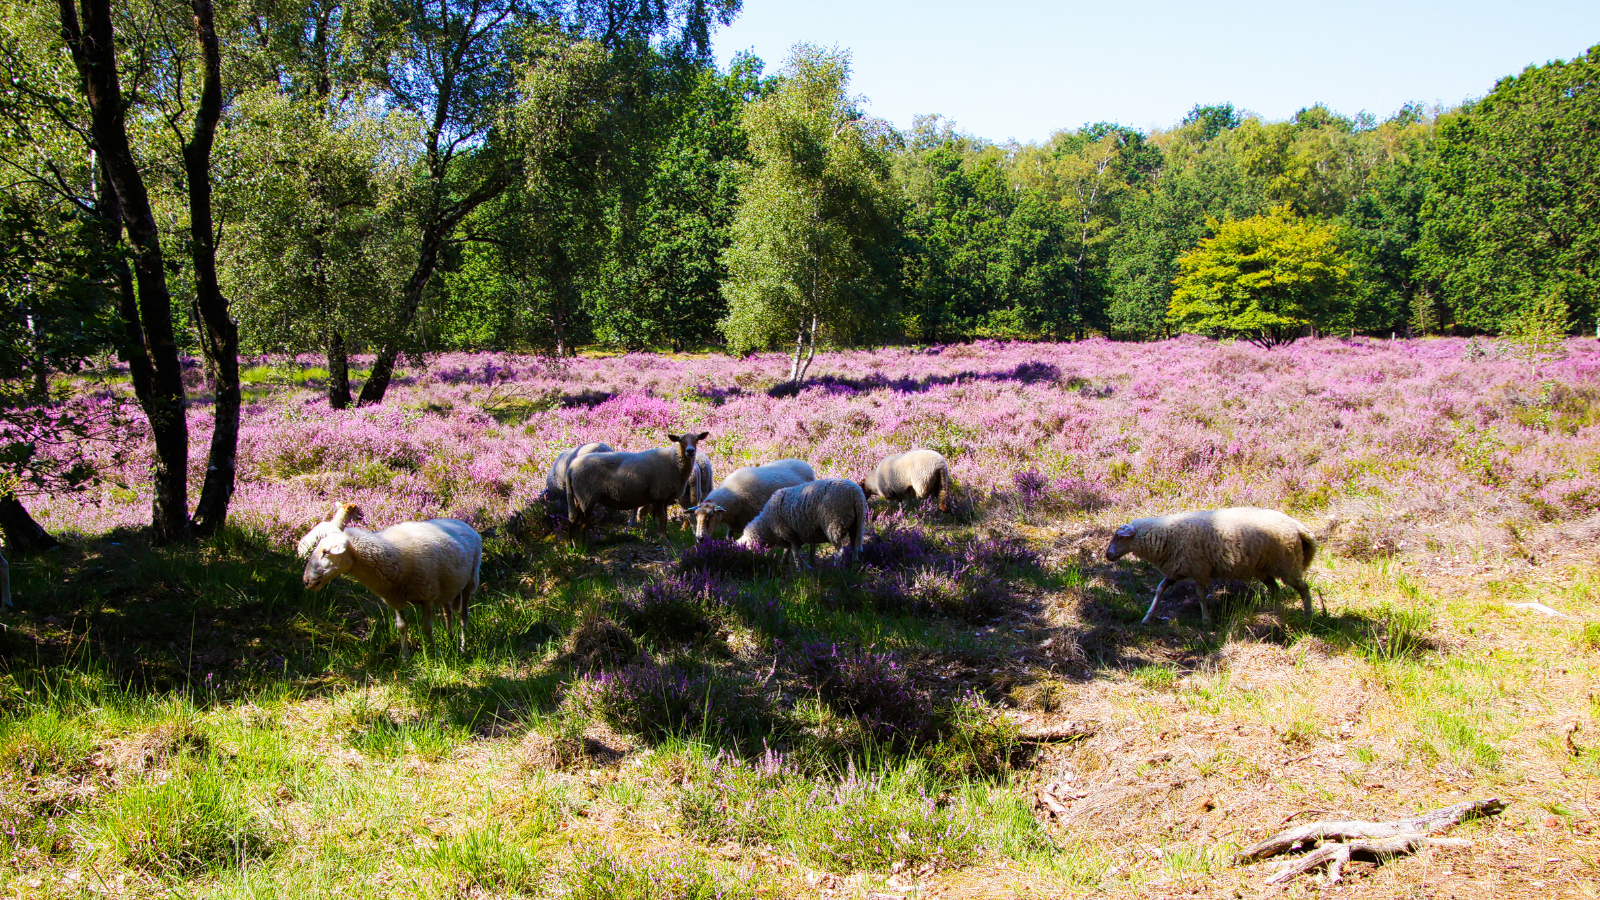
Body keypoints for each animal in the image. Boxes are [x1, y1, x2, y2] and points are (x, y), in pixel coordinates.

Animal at [297, 499, 476, 656]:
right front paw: (405, 658)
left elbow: (427, 628)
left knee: (463, 616)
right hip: (447, 587)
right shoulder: (395, 597)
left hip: (470, 581)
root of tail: (461, 523)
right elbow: (402, 627)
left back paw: (462, 646)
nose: (306, 581)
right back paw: (451, 637)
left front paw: (434, 654)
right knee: (448, 613)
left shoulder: (427, 596)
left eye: (326, 552)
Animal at [566, 432, 710, 534]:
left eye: (697, 439)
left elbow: (662, 520)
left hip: (580, 497)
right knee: (583, 523)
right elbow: (661, 518)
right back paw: (582, 545)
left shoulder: (662, 497)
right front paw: (662, 539)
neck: (674, 462)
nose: (690, 451)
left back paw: (572, 545)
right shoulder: (659, 494)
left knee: (573, 519)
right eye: (681, 441)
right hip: (587, 496)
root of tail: (571, 467)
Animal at [732, 477, 864, 566]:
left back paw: (837, 568)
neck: (767, 525)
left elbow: (794, 552)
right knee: (855, 549)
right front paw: (787, 562)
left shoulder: (790, 533)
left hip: (834, 524)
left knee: (840, 552)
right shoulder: (809, 532)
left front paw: (799, 568)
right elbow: (802, 549)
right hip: (856, 525)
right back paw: (854, 566)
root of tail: (855, 494)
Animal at [1107, 506, 1318, 624]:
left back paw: (1308, 616)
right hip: (1264, 568)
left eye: (1119, 537)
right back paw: (1275, 612)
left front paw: (1206, 620)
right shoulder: (1176, 570)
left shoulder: (1199, 570)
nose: (1108, 555)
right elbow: (1160, 589)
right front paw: (1147, 618)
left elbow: (1200, 595)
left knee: (1303, 588)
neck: (1166, 535)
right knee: (1275, 589)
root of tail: (1297, 526)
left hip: (1287, 564)